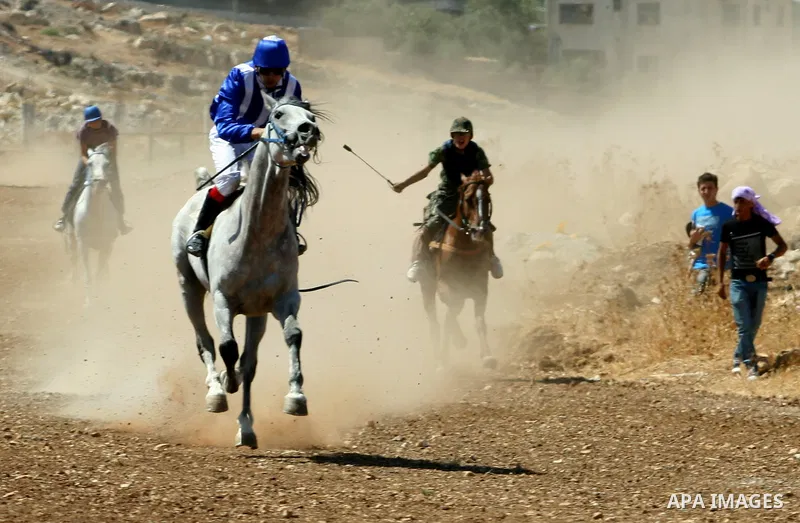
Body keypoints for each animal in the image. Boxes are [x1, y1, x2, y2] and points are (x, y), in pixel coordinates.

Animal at [66, 142, 119, 304]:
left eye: (107, 163)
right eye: (89, 163)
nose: (99, 183)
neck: (95, 214)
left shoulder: (107, 245)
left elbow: (98, 274)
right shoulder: (83, 244)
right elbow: (88, 275)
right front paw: (89, 303)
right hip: (71, 240)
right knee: (73, 263)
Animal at [171, 96, 329, 449]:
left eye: (309, 114)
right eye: (278, 114)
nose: (308, 130)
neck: (256, 233)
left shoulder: (284, 299)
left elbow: (291, 337)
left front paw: (296, 398)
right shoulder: (222, 299)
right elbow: (227, 347)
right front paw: (225, 385)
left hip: (256, 314)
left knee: (249, 362)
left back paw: (246, 427)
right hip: (189, 287)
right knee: (205, 341)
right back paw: (216, 390)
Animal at [419, 171, 497, 370]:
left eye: (487, 199)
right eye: (468, 199)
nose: (480, 231)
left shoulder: (480, 287)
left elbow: (479, 321)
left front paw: (487, 356)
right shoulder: (444, 285)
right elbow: (451, 312)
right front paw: (452, 349)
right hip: (427, 287)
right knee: (434, 319)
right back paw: (441, 355)